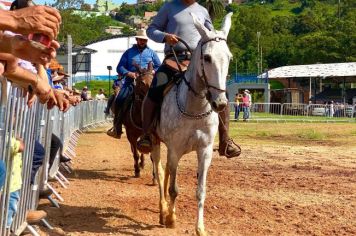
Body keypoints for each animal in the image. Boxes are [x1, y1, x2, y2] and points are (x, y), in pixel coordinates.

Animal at [151, 12, 232, 236]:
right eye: (207, 57)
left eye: (229, 57)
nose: (220, 103)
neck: (194, 109)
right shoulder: (175, 149)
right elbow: (173, 189)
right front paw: (171, 219)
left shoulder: (204, 151)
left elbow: (200, 191)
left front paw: (200, 228)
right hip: (155, 143)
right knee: (160, 173)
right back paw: (163, 211)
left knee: (166, 173)